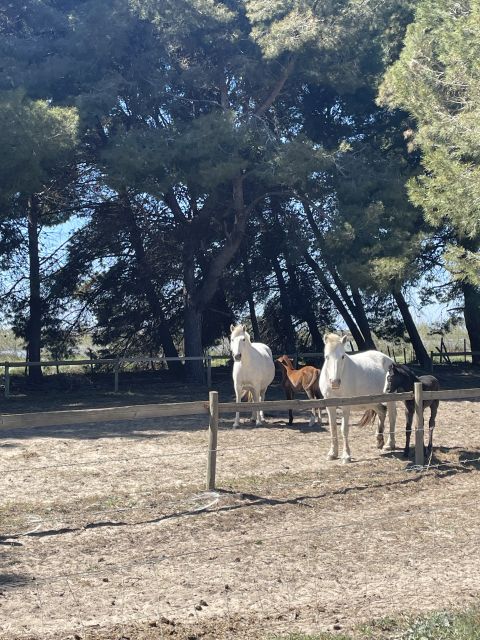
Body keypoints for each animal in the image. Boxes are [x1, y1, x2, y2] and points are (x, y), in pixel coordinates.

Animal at [320, 332, 396, 462]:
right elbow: (333, 428)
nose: (335, 382)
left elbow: (344, 429)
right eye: (326, 357)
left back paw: (389, 444)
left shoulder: (346, 406)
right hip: (373, 401)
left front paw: (346, 455)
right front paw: (332, 453)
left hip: (390, 399)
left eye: (343, 356)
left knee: (392, 417)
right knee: (382, 411)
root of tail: (389, 360)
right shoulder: (330, 406)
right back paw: (379, 441)